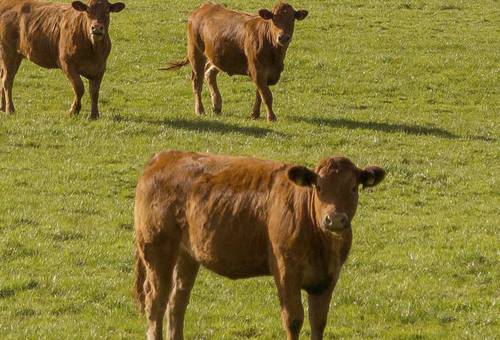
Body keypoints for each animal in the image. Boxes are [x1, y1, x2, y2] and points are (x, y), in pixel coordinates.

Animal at [134, 151, 386, 340]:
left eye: (353, 188)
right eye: (319, 187)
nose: (334, 219)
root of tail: (163, 158)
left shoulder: (328, 277)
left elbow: (319, 321)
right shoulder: (285, 271)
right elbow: (293, 320)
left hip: (187, 255)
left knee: (177, 301)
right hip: (157, 250)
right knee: (156, 301)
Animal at [166, 2, 308, 122]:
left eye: (292, 18)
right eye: (273, 18)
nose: (283, 37)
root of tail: (203, 7)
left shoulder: (265, 73)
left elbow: (259, 94)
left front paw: (255, 114)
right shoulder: (256, 70)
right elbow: (266, 95)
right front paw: (271, 117)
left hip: (217, 57)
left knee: (209, 73)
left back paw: (217, 106)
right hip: (196, 53)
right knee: (197, 82)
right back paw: (200, 110)